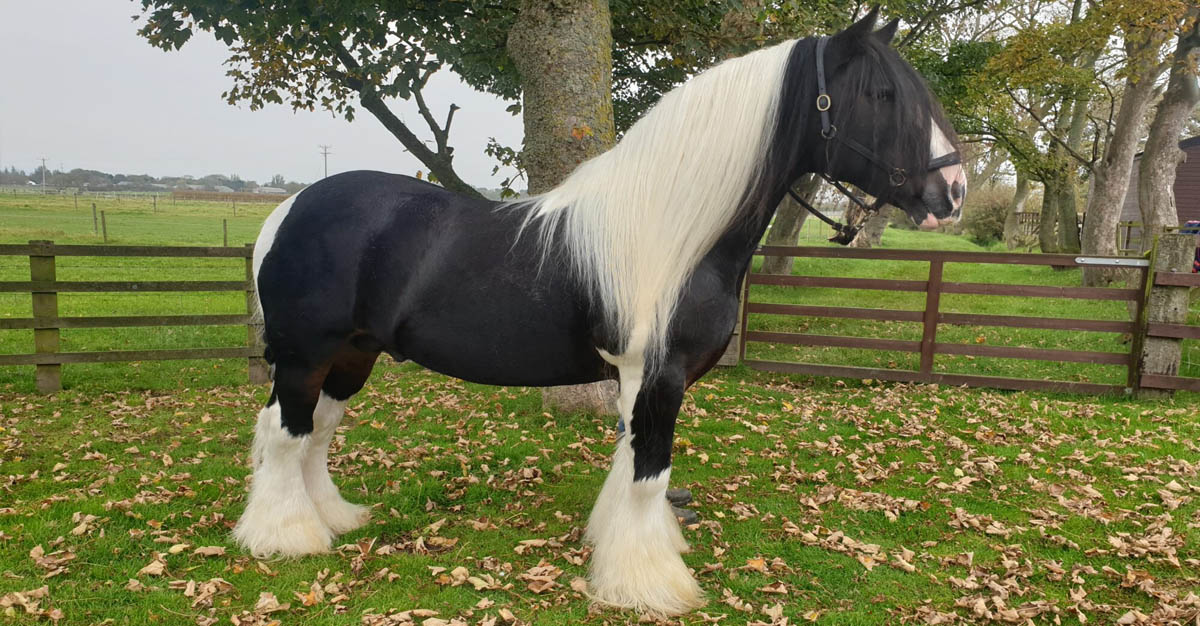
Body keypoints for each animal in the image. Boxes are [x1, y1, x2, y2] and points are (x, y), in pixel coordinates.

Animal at [231, 9, 964, 614]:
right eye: (883, 96)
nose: (954, 192)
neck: (676, 231)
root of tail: (288, 210)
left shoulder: (638, 379)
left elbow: (631, 469)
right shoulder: (657, 375)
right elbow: (646, 474)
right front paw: (650, 585)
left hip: (352, 355)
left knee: (314, 432)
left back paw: (333, 519)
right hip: (306, 354)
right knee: (287, 433)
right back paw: (286, 538)